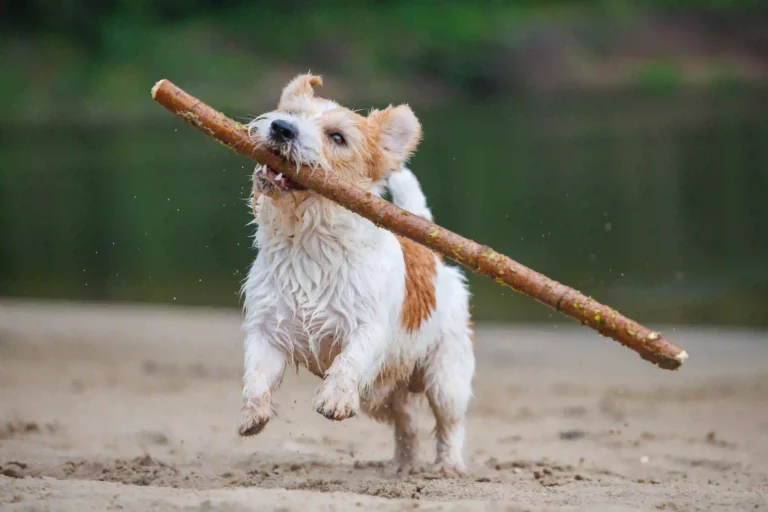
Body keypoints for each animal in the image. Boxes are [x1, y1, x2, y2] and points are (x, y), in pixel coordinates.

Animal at [238, 73, 474, 476]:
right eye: (290, 113)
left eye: (337, 137)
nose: (281, 128)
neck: (309, 243)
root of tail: (434, 256)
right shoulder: (267, 330)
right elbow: (256, 373)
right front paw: (253, 412)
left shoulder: (369, 328)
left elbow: (351, 360)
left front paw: (334, 397)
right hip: (381, 397)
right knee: (407, 423)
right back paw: (404, 465)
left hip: (446, 377)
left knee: (450, 424)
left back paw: (449, 465)